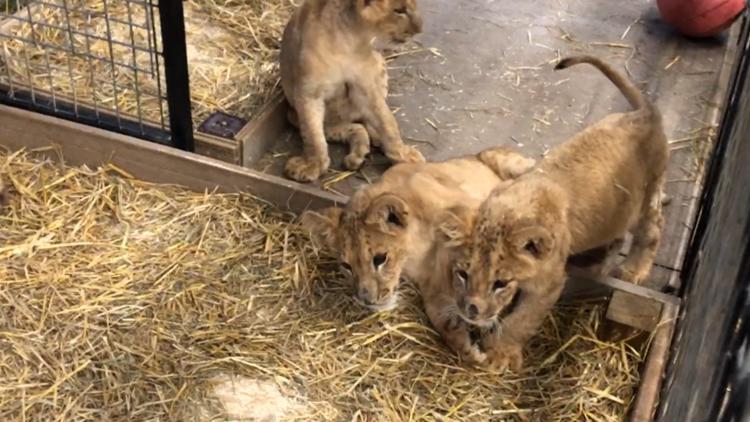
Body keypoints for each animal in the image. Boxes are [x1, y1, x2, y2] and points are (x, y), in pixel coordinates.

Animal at [280, 0, 425, 182]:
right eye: (399, 10)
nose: (419, 29)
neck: (349, 40)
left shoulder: (365, 84)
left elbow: (386, 121)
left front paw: (404, 155)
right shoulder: (308, 94)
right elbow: (312, 134)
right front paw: (313, 165)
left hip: (379, 65)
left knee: (368, 120)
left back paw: (374, 140)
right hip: (293, 115)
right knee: (354, 127)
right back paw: (357, 157)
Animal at [442, 55, 669, 370]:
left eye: (500, 283)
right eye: (463, 273)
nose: (471, 311)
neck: (513, 211)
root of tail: (644, 113)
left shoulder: (548, 283)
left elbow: (522, 320)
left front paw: (501, 353)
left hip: (646, 199)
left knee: (653, 227)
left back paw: (634, 269)